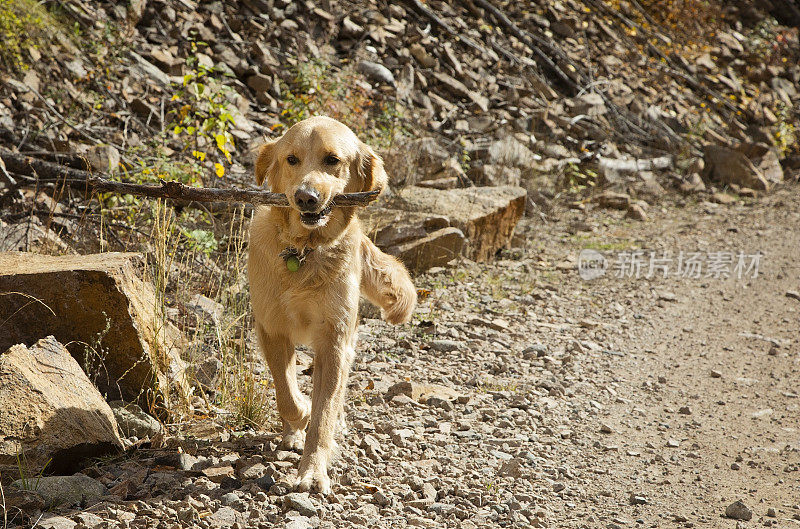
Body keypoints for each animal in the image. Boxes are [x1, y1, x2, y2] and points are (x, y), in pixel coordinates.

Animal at [248, 114, 412, 490]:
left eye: (332, 160)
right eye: (291, 159)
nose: (305, 197)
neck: (305, 252)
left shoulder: (334, 340)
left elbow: (323, 413)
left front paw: (312, 469)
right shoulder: (272, 328)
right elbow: (288, 395)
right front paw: (300, 416)